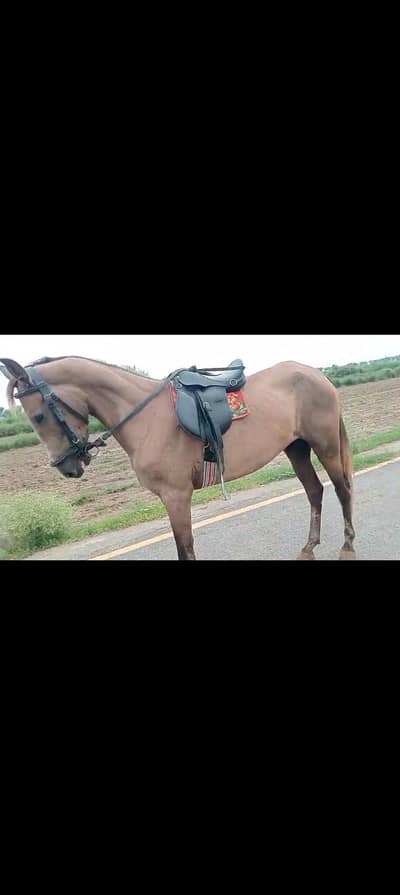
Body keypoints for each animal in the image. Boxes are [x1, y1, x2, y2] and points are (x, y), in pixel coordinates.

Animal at [0, 355, 356, 560]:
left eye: (38, 416)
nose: (66, 468)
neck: (147, 417)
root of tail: (315, 374)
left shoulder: (175, 496)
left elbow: (184, 548)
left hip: (325, 445)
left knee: (342, 490)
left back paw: (348, 546)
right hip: (297, 448)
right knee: (315, 491)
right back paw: (309, 547)